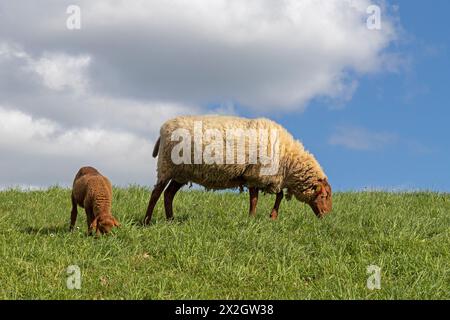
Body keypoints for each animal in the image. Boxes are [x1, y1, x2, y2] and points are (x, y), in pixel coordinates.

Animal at [142, 115, 332, 225]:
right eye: (323, 196)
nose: (327, 217)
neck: (288, 159)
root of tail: (163, 128)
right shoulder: (255, 175)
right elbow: (254, 200)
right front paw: (252, 219)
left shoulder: (270, 178)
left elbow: (278, 195)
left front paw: (272, 216)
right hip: (166, 166)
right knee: (156, 193)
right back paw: (147, 221)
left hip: (181, 173)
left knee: (168, 194)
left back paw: (171, 220)